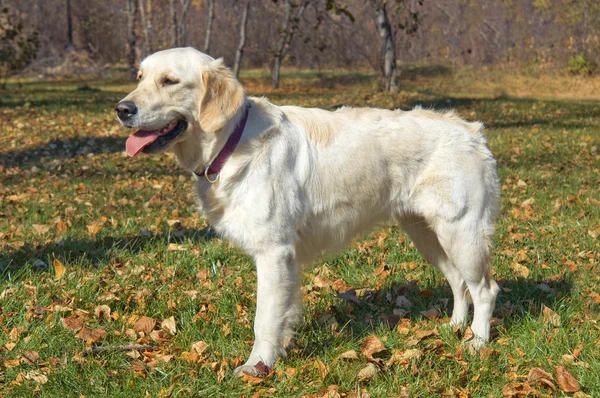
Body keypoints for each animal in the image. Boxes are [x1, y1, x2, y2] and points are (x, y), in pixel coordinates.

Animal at [116, 47, 502, 376]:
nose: (122, 109)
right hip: (427, 234)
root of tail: (472, 131)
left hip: (461, 232)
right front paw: (279, 351)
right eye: (140, 76)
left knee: (485, 289)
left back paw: (477, 342)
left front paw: (257, 366)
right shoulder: (287, 261)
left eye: (170, 81)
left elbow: (263, 318)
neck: (230, 142)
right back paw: (454, 327)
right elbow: (282, 314)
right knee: (459, 282)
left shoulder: (273, 253)